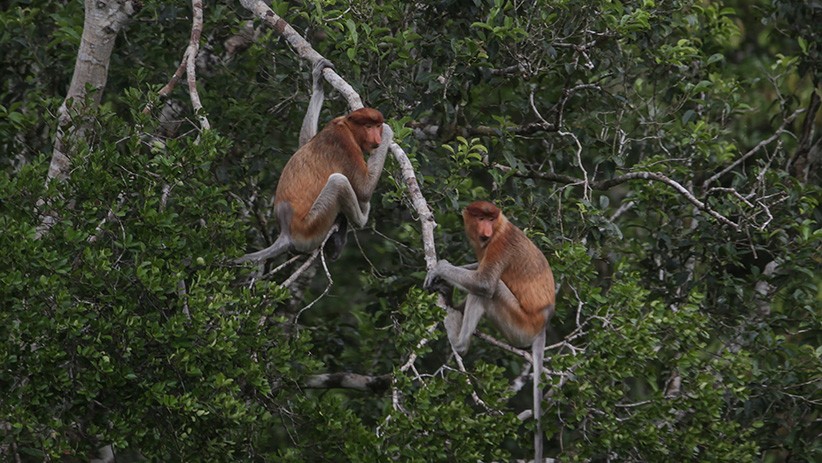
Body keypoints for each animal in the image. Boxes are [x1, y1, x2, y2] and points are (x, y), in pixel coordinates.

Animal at [236, 60, 394, 263]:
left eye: (377, 125)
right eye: (369, 126)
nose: (377, 138)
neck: (347, 126)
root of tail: (286, 233)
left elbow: (304, 143)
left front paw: (318, 80)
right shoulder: (345, 145)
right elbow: (364, 189)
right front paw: (389, 131)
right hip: (312, 226)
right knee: (338, 181)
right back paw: (361, 217)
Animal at [423, 200, 555, 463]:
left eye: (491, 219)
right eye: (480, 218)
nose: (486, 229)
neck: (499, 228)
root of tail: (542, 324)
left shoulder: (499, 245)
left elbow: (484, 282)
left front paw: (440, 269)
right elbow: (477, 268)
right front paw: (441, 278)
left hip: (519, 326)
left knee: (488, 292)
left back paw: (458, 339)